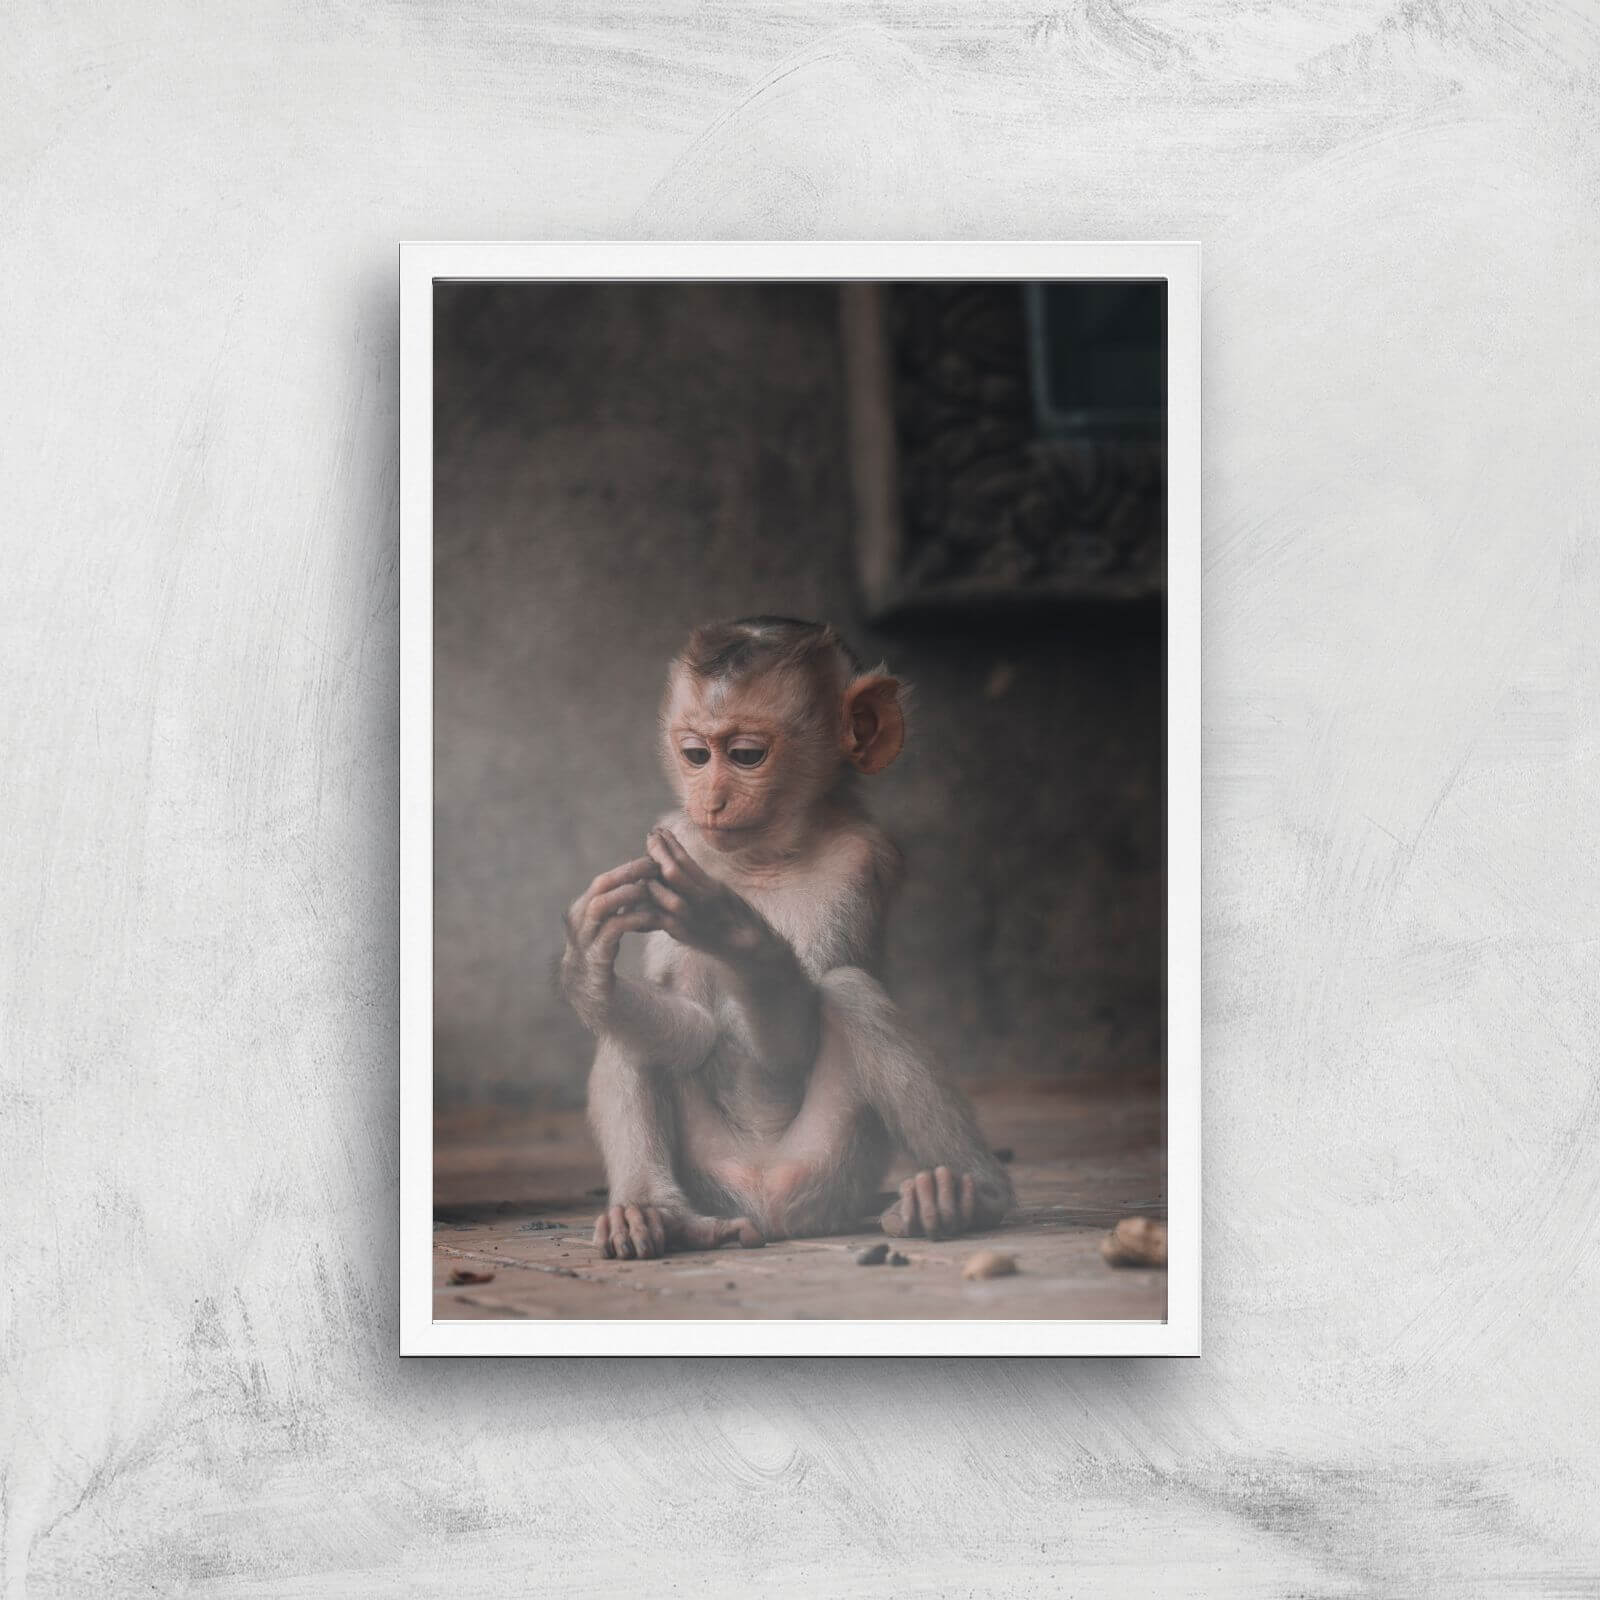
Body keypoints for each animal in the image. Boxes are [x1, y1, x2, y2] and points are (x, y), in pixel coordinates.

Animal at [560, 616, 1016, 1259]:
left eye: (746, 755)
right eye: (695, 755)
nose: (710, 800)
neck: (764, 857)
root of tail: (765, 1206)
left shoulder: (860, 859)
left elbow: (792, 1046)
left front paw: (734, 933)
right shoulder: (677, 835)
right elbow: (690, 1026)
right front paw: (587, 966)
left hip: (833, 1167)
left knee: (850, 993)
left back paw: (968, 1196)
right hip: (710, 1172)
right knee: (629, 1034)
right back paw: (658, 1213)